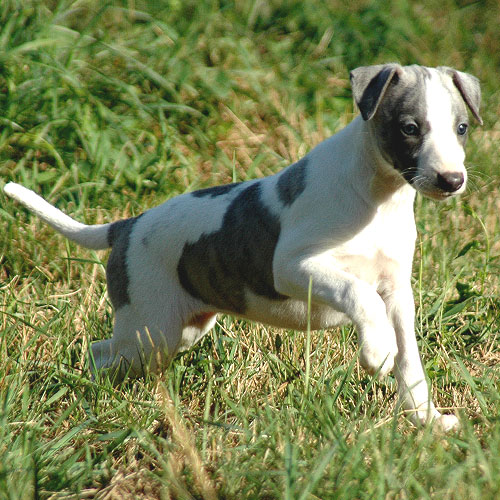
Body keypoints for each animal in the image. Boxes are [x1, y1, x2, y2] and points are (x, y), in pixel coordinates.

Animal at [2, 62, 480, 430]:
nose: (452, 180)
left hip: (178, 331)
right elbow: (358, 293)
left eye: (461, 128)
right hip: (150, 331)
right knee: (101, 353)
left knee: (107, 352)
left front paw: (427, 420)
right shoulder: (292, 266)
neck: (379, 195)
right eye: (410, 128)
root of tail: (127, 226)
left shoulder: (397, 291)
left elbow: (411, 361)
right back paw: (93, 395)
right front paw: (377, 353)